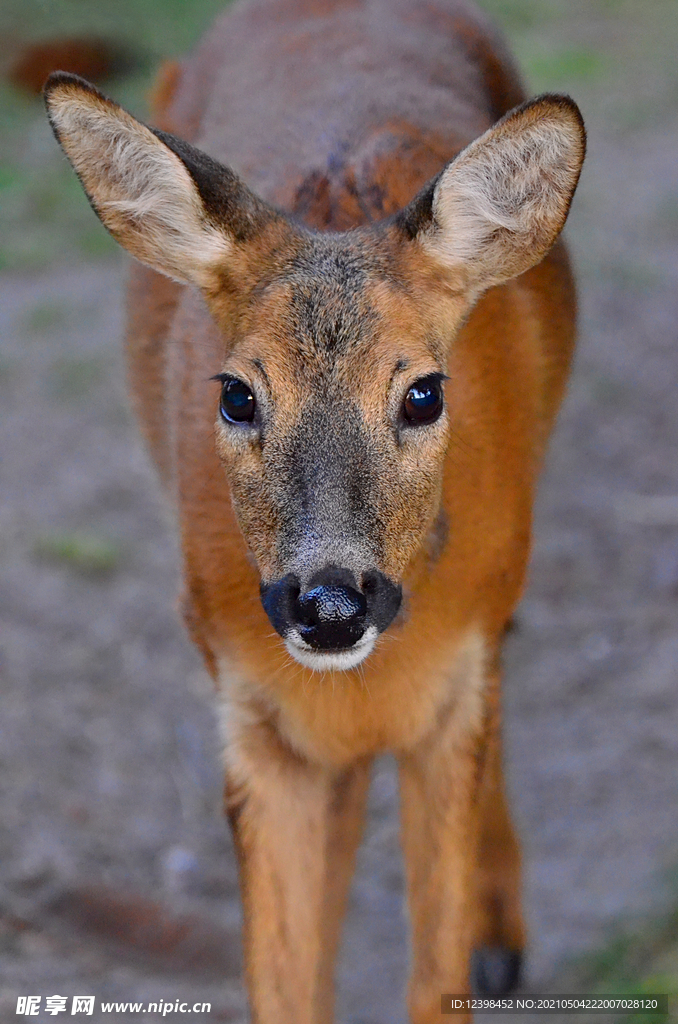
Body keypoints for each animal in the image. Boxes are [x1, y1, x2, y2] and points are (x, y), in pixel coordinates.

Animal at [43, 0, 585, 1019]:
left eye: (423, 393)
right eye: (236, 396)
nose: (328, 604)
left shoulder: (453, 684)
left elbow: (433, 975)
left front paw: (482, 942)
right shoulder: (251, 708)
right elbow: (286, 973)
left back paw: (502, 936)